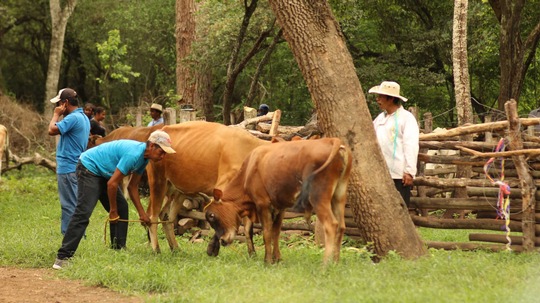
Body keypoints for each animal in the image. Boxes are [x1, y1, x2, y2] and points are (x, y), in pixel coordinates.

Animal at [205, 139, 352, 264]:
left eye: (212, 215)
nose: (223, 241)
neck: (248, 171)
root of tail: (332, 140)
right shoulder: (280, 207)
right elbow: (276, 232)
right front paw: (277, 259)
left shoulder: (262, 203)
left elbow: (267, 233)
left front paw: (268, 260)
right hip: (339, 195)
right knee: (341, 226)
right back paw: (336, 262)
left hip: (318, 197)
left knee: (331, 225)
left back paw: (325, 264)